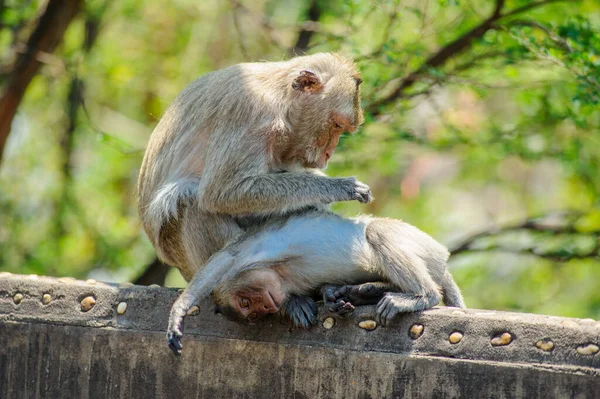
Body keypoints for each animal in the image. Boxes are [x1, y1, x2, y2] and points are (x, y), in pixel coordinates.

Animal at [138, 54, 368, 344]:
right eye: (336, 126)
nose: (328, 153)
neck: (280, 99)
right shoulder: (252, 113)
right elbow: (221, 192)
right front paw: (340, 187)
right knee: (189, 202)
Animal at [166, 211, 466, 354]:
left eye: (246, 302)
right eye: (251, 313)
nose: (264, 308)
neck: (282, 274)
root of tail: (442, 260)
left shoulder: (254, 249)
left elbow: (223, 259)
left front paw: (178, 311)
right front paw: (307, 303)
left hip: (423, 246)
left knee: (376, 231)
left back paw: (421, 296)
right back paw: (361, 292)